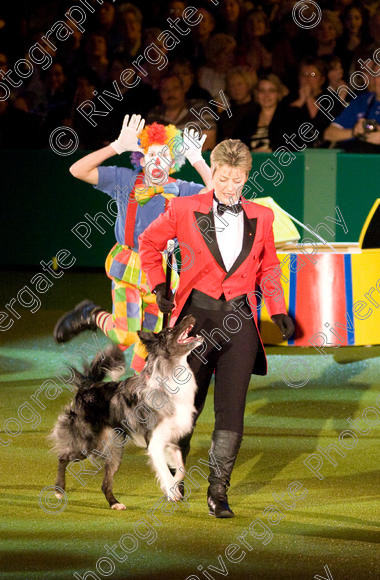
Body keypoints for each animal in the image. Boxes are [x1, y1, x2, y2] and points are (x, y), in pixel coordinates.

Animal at [49, 314, 203, 510]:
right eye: (170, 330)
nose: (189, 316)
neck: (169, 377)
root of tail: (87, 386)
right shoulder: (154, 442)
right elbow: (165, 470)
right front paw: (171, 489)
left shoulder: (170, 440)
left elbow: (181, 467)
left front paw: (175, 488)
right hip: (85, 445)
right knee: (62, 457)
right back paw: (59, 490)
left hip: (114, 450)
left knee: (105, 483)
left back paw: (115, 504)